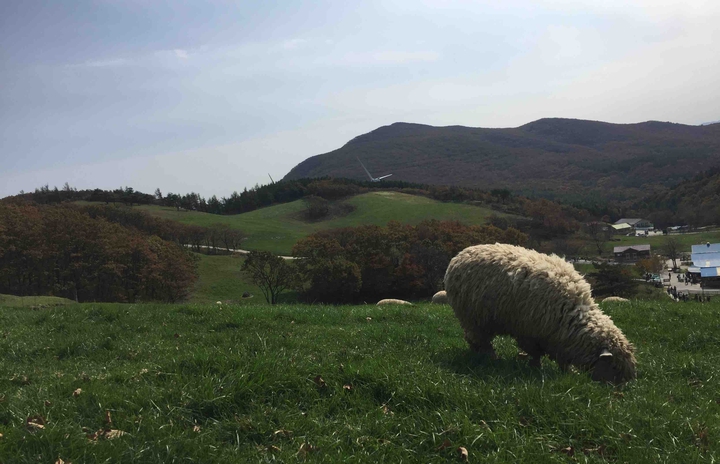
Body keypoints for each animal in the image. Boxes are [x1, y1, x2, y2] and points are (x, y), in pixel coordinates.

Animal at [444, 243, 636, 383]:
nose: (619, 389)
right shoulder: (529, 332)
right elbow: (535, 353)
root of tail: (460, 254)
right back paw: (491, 358)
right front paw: (536, 368)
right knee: (478, 338)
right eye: (614, 367)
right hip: (474, 317)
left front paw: (569, 372)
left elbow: (562, 358)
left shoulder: (558, 339)